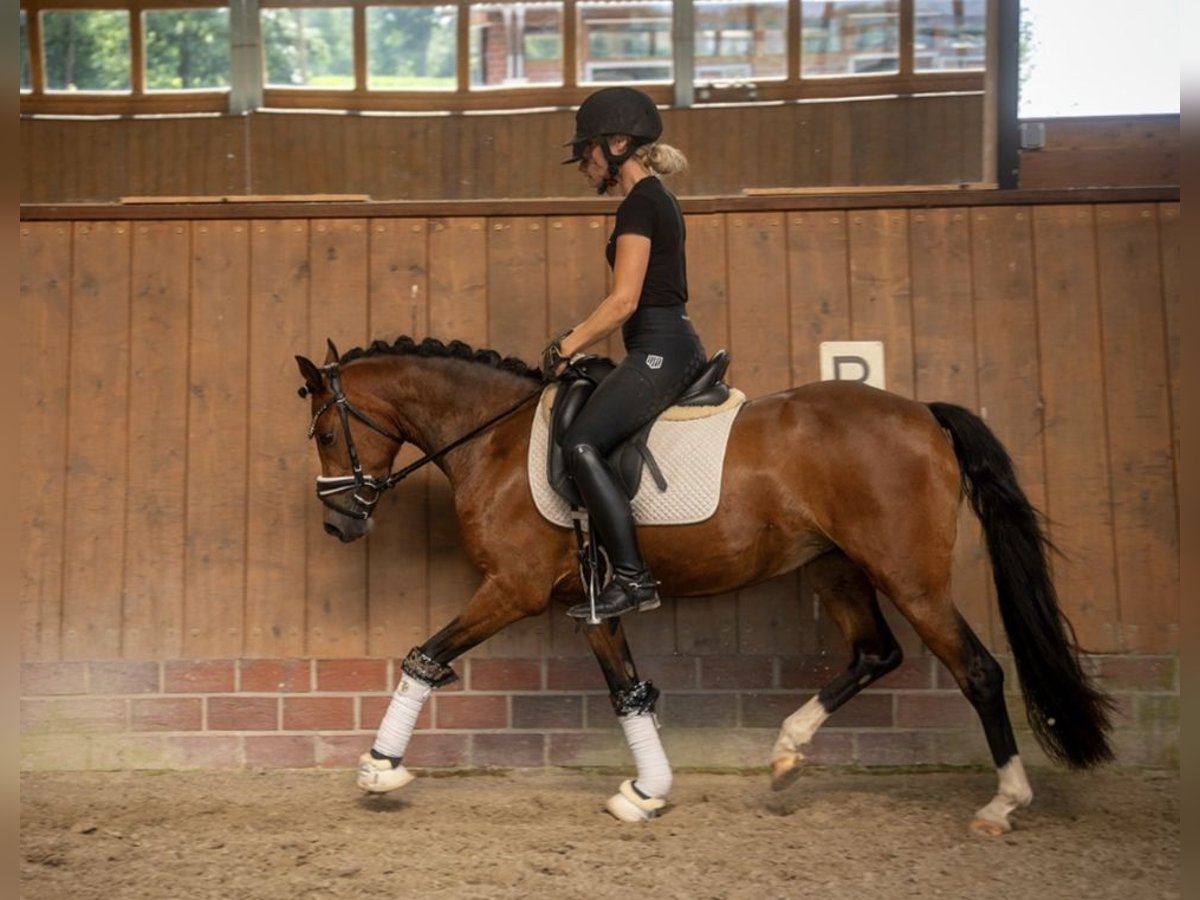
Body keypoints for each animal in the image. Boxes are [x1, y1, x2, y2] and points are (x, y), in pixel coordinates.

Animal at [292, 336, 1113, 835]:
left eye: (327, 434)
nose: (338, 523)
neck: (492, 438)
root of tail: (921, 414)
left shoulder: (514, 588)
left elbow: (425, 655)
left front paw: (378, 769)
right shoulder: (593, 603)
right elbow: (627, 691)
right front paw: (646, 792)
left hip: (908, 574)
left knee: (977, 669)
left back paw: (1003, 803)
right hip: (834, 565)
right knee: (876, 654)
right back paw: (786, 752)